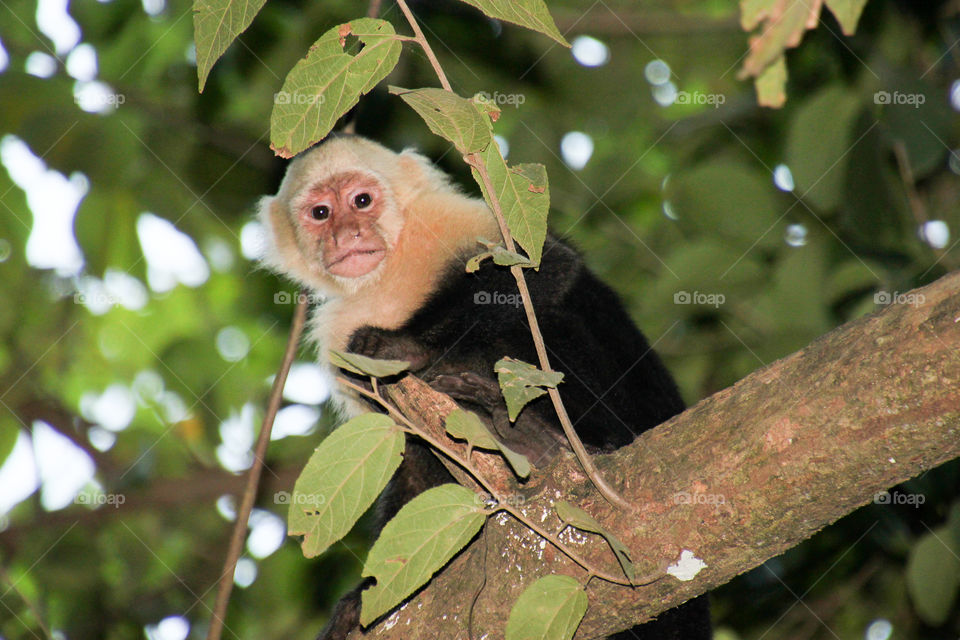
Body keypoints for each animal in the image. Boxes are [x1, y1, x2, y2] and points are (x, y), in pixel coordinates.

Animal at [258, 136, 708, 640]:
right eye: (320, 213)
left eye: (361, 201)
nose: (347, 234)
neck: (384, 279)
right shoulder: (338, 338)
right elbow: (410, 458)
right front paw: (364, 598)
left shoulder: (445, 220)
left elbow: (541, 270)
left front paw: (407, 346)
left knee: (544, 317)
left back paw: (545, 440)